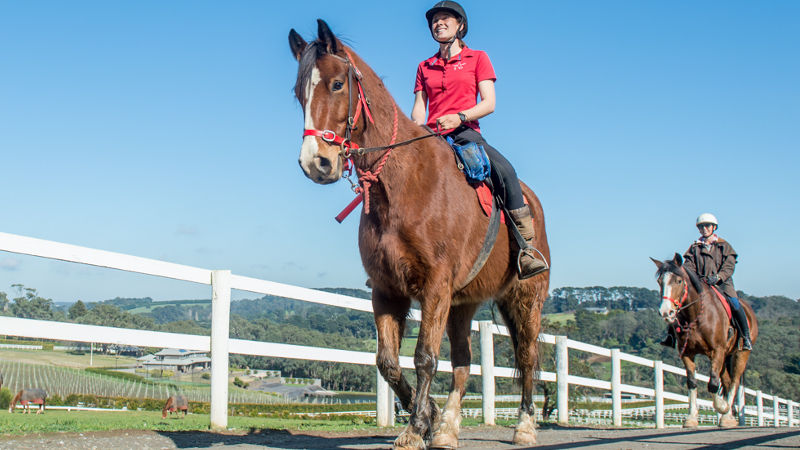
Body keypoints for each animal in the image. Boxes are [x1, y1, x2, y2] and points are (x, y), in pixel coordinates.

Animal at [288, 19, 552, 448]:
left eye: (337, 85)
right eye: (299, 94)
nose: (316, 164)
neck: (403, 184)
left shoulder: (435, 286)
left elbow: (425, 357)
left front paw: (413, 430)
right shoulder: (386, 290)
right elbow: (388, 363)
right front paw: (428, 417)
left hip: (526, 298)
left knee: (527, 357)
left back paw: (525, 426)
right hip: (462, 305)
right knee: (463, 362)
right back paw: (448, 428)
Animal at [648, 255, 756, 428]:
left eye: (679, 281)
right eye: (660, 282)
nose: (666, 312)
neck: (697, 314)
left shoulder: (717, 351)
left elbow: (713, 384)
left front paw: (722, 407)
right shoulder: (687, 353)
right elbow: (692, 383)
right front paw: (691, 418)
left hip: (740, 354)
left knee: (734, 381)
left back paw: (727, 412)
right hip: (725, 356)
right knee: (726, 381)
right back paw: (727, 418)